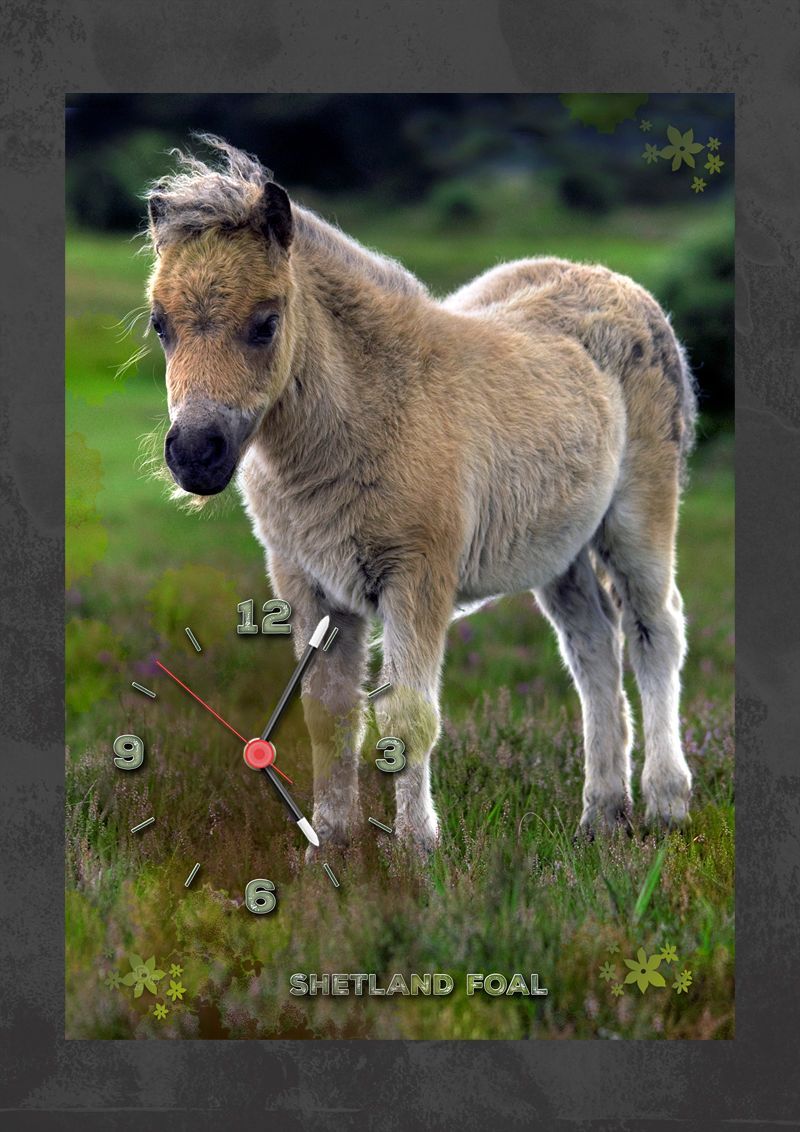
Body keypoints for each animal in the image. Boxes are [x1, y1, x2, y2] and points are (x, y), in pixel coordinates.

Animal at [144, 135, 697, 853]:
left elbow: (408, 717)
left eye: (265, 323)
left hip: (637, 517)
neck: (369, 411)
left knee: (654, 630)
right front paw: (330, 845)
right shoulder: (307, 583)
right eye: (159, 324)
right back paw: (602, 813)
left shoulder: (417, 578)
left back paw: (665, 802)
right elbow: (328, 713)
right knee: (593, 647)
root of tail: (618, 283)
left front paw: (415, 849)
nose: (195, 454)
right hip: (561, 550)